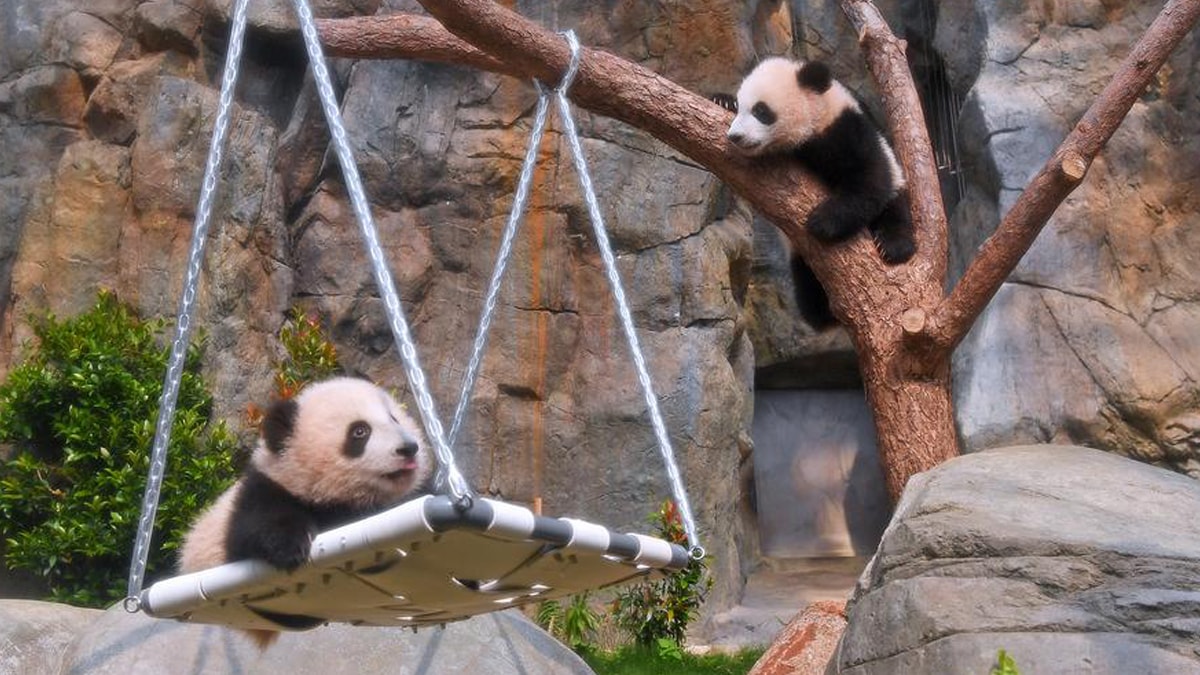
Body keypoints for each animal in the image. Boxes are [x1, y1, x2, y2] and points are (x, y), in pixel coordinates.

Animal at [178, 376, 432, 647]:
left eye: (394, 418)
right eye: (360, 431)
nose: (408, 448)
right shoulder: (265, 491)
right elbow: (258, 527)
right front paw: (291, 548)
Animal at [713, 57, 915, 328]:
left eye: (761, 111)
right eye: (740, 107)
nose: (735, 136)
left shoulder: (846, 130)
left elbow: (871, 180)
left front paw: (821, 221)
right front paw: (721, 100)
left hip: (897, 186)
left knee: (895, 207)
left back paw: (893, 245)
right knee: (808, 294)